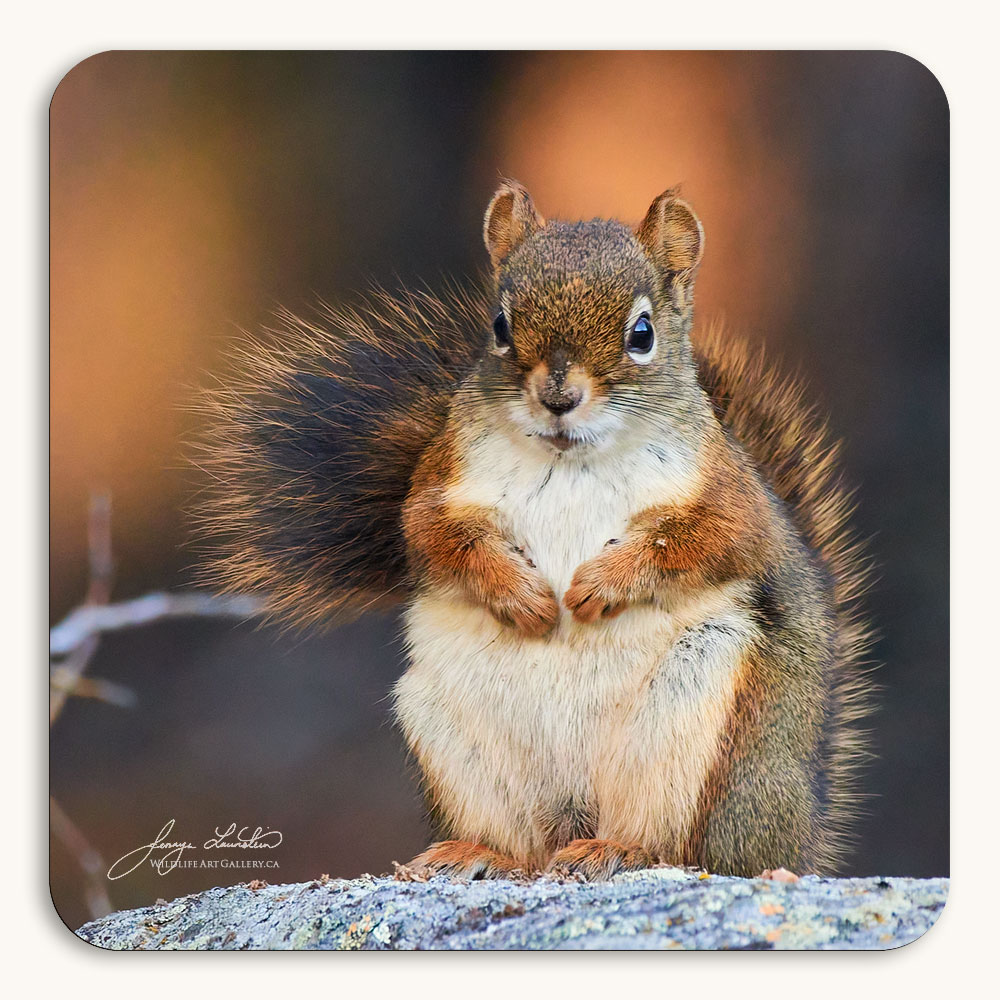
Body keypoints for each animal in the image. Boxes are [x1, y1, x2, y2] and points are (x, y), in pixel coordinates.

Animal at [196, 181, 873, 880]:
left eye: (642, 333)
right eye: (500, 324)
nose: (557, 396)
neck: (566, 458)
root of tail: (791, 841)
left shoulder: (730, 497)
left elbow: (706, 540)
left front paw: (597, 586)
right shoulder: (440, 482)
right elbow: (433, 535)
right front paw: (523, 597)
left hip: (701, 732)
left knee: (682, 847)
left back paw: (620, 849)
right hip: (450, 729)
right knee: (527, 844)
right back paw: (477, 852)